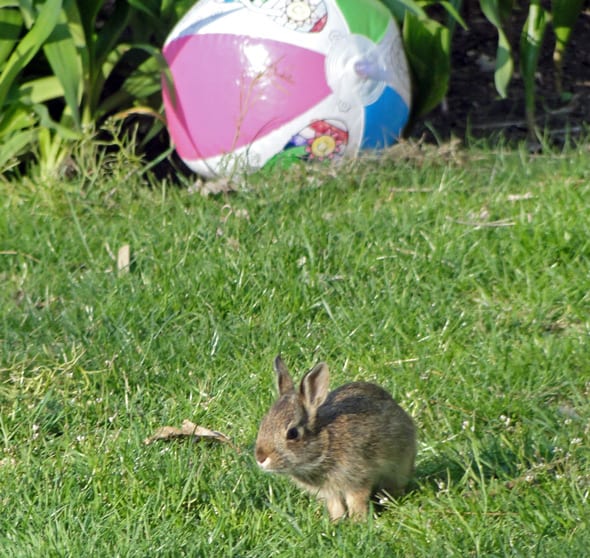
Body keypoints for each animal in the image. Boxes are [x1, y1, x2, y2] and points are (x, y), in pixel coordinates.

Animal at [254, 356, 416, 524]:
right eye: (263, 423)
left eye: (292, 433)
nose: (260, 458)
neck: (326, 444)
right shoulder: (330, 493)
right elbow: (336, 506)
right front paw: (336, 523)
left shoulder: (357, 480)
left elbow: (356, 502)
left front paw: (358, 522)